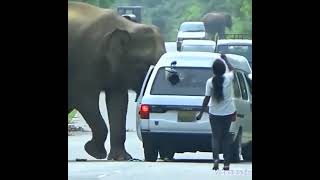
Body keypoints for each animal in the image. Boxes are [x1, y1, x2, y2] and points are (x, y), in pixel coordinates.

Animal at [68, 1, 166, 160]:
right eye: (145, 65)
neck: (124, 25)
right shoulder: (85, 59)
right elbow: (85, 99)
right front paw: (95, 152)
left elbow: (118, 101)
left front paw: (121, 158)